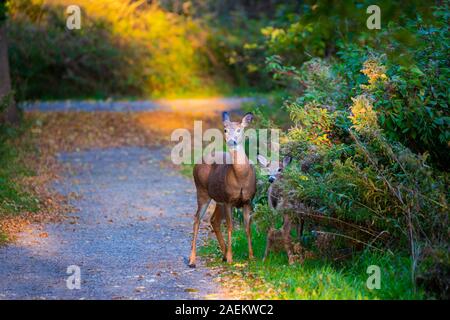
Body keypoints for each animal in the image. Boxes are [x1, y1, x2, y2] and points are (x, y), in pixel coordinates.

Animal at [187, 111, 256, 266]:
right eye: (225, 130)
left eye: (239, 129)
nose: (231, 141)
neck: (241, 177)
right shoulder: (229, 200)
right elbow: (230, 227)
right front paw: (230, 258)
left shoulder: (248, 201)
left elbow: (248, 227)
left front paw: (251, 256)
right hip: (202, 191)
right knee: (197, 219)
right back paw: (192, 259)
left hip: (219, 199)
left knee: (213, 220)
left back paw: (223, 254)